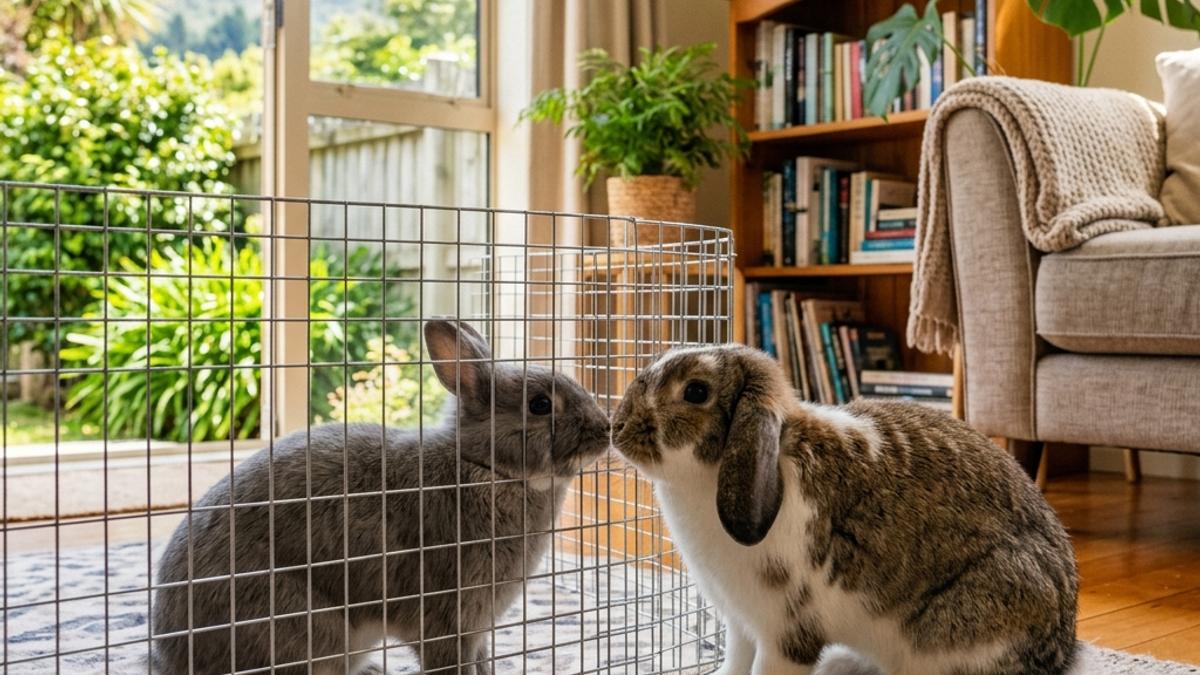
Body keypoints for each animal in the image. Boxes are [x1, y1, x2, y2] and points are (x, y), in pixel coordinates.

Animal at [152, 319, 612, 675]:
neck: (485, 466)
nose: (606, 428)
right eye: (540, 405)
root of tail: (174, 653)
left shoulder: (477, 629)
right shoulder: (446, 620)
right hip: (306, 629)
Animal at [611, 344, 1078, 675]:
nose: (616, 427)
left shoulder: (786, 637)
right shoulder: (741, 625)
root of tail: (1062, 646)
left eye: (695, 391)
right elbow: (733, 665)